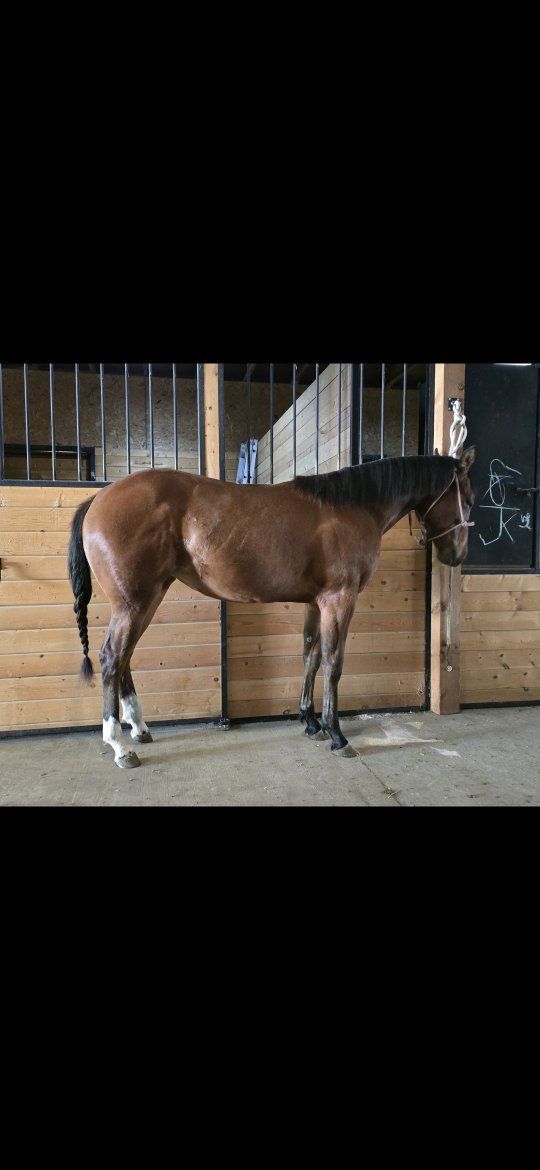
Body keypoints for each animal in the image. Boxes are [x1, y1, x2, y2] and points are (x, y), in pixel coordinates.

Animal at [68, 448, 476, 769]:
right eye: (469, 500)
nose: (457, 556)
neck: (352, 506)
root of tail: (97, 500)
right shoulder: (339, 599)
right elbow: (333, 662)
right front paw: (336, 734)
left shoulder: (316, 602)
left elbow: (311, 655)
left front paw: (310, 722)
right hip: (134, 602)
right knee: (111, 657)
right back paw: (119, 744)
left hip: (146, 600)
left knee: (125, 657)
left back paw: (138, 728)